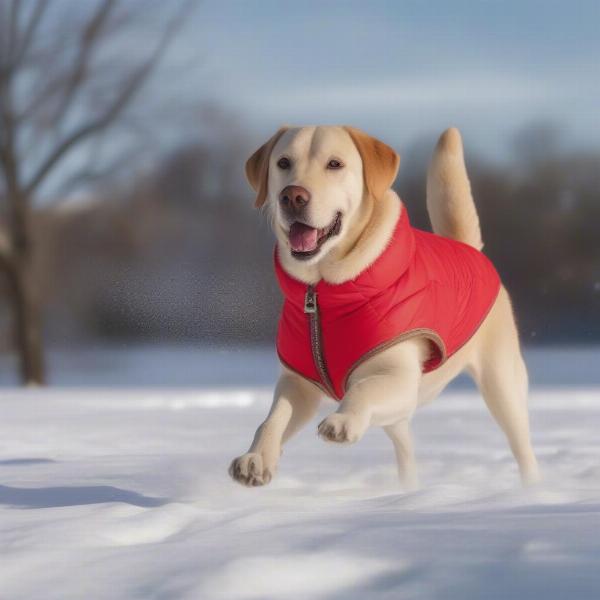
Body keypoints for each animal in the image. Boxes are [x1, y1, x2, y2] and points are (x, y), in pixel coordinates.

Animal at [227, 124, 540, 490]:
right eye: (283, 163)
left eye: (335, 164)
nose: (292, 196)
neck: (321, 292)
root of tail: (469, 248)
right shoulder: (298, 383)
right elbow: (272, 419)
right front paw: (256, 459)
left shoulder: (401, 377)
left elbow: (361, 389)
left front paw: (342, 422)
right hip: (404, 416)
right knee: (405, 447)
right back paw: (406, 491)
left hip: (502, 384)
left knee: (523, 447)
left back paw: (533, 491)